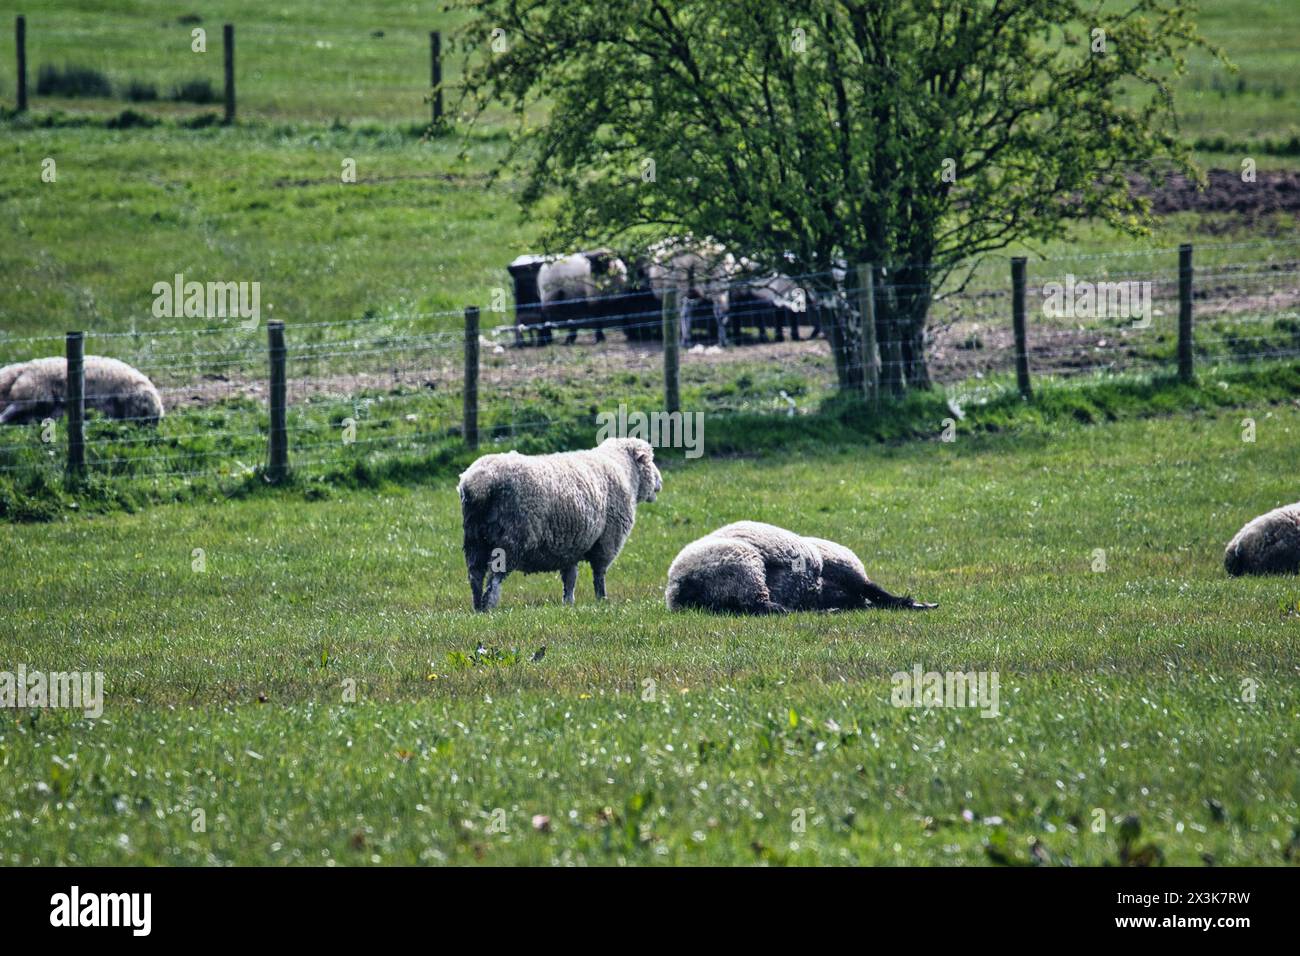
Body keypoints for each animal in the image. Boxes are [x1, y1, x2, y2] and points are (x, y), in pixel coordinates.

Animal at [458, 437, 662, 610]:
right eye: (650, 461)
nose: (660, 482)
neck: (623, 469)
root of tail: (480, 481)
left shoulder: (570, 547)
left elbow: (570, 579)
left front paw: (568, 603)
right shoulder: (607, 542)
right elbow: (599, 575)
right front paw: (602, 600)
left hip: (474, 539)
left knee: (475, 575)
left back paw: (477, 606)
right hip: (511, 538)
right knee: (495, 578)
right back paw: (489, 605)